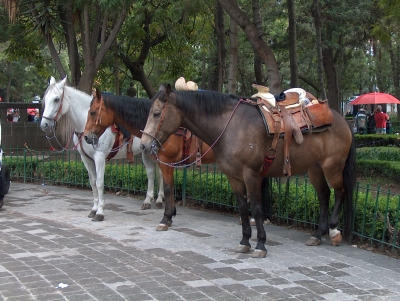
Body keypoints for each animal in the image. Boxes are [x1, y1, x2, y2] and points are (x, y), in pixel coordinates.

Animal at [39, 76, 165, 219]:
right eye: (45, 99)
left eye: (56, 99)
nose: (44, 124)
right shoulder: (86, 159)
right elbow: (93, 182)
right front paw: (94, 208)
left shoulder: (99, 158)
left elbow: (99, 183)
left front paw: (100, 212)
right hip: (146, 152)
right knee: (151, 172)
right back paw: (147, 201)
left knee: (160, 173)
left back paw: (159, 200)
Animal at [140, 85, 356, 256]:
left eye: (157, 113)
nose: (144, 145)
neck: (231, 127)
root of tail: (341, 119)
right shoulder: (234, 178)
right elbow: (243, 208)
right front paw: (245, 241)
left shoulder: (252, 175)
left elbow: (257, 209)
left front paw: (260, 244)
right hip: (315, 168)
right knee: (324, 195)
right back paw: (318, 234)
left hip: (332, 166)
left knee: (340, 192)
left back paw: (334, 231)